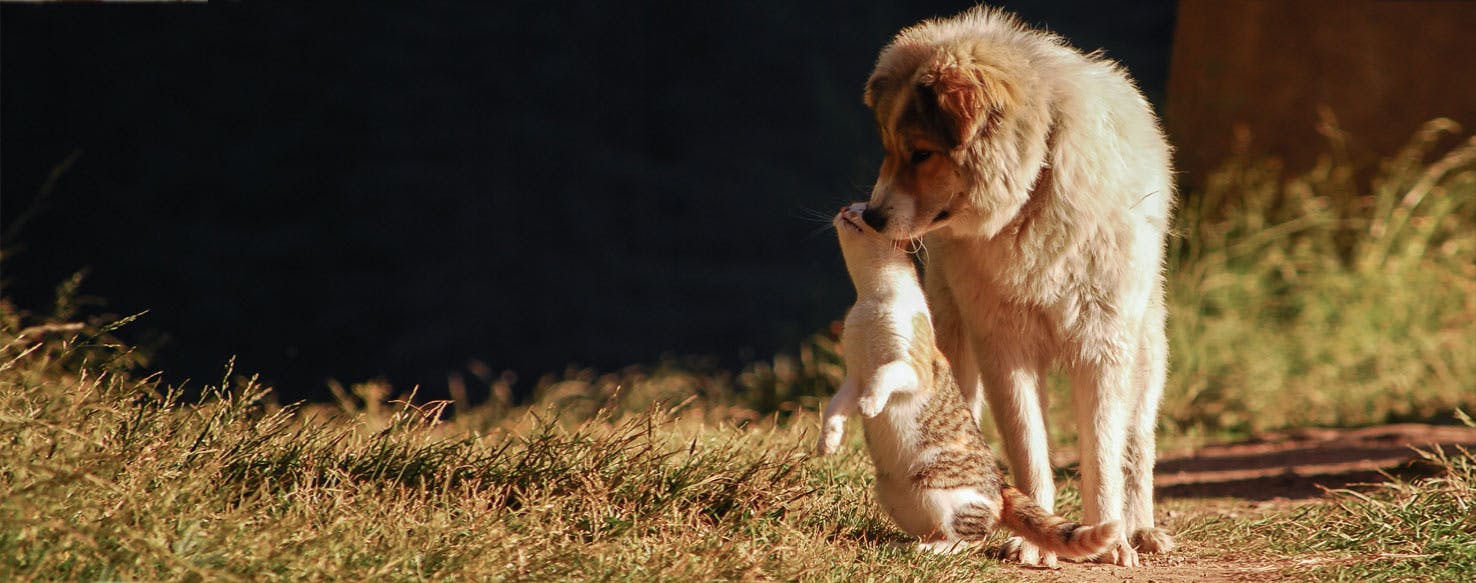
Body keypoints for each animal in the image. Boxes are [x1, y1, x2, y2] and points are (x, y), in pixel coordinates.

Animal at [856, 6, 1174, 569]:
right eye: (889, 150)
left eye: (921, 153)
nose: (871, 217)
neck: (1035, 192)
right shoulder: (1004, 348)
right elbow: (1029, 451)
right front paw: (1034, 540)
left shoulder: (1103, 348)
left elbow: (1103, 456)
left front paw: (1110, 539)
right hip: (955, 338)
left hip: (1146, 356)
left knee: (1136, 448)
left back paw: (1141, 530)